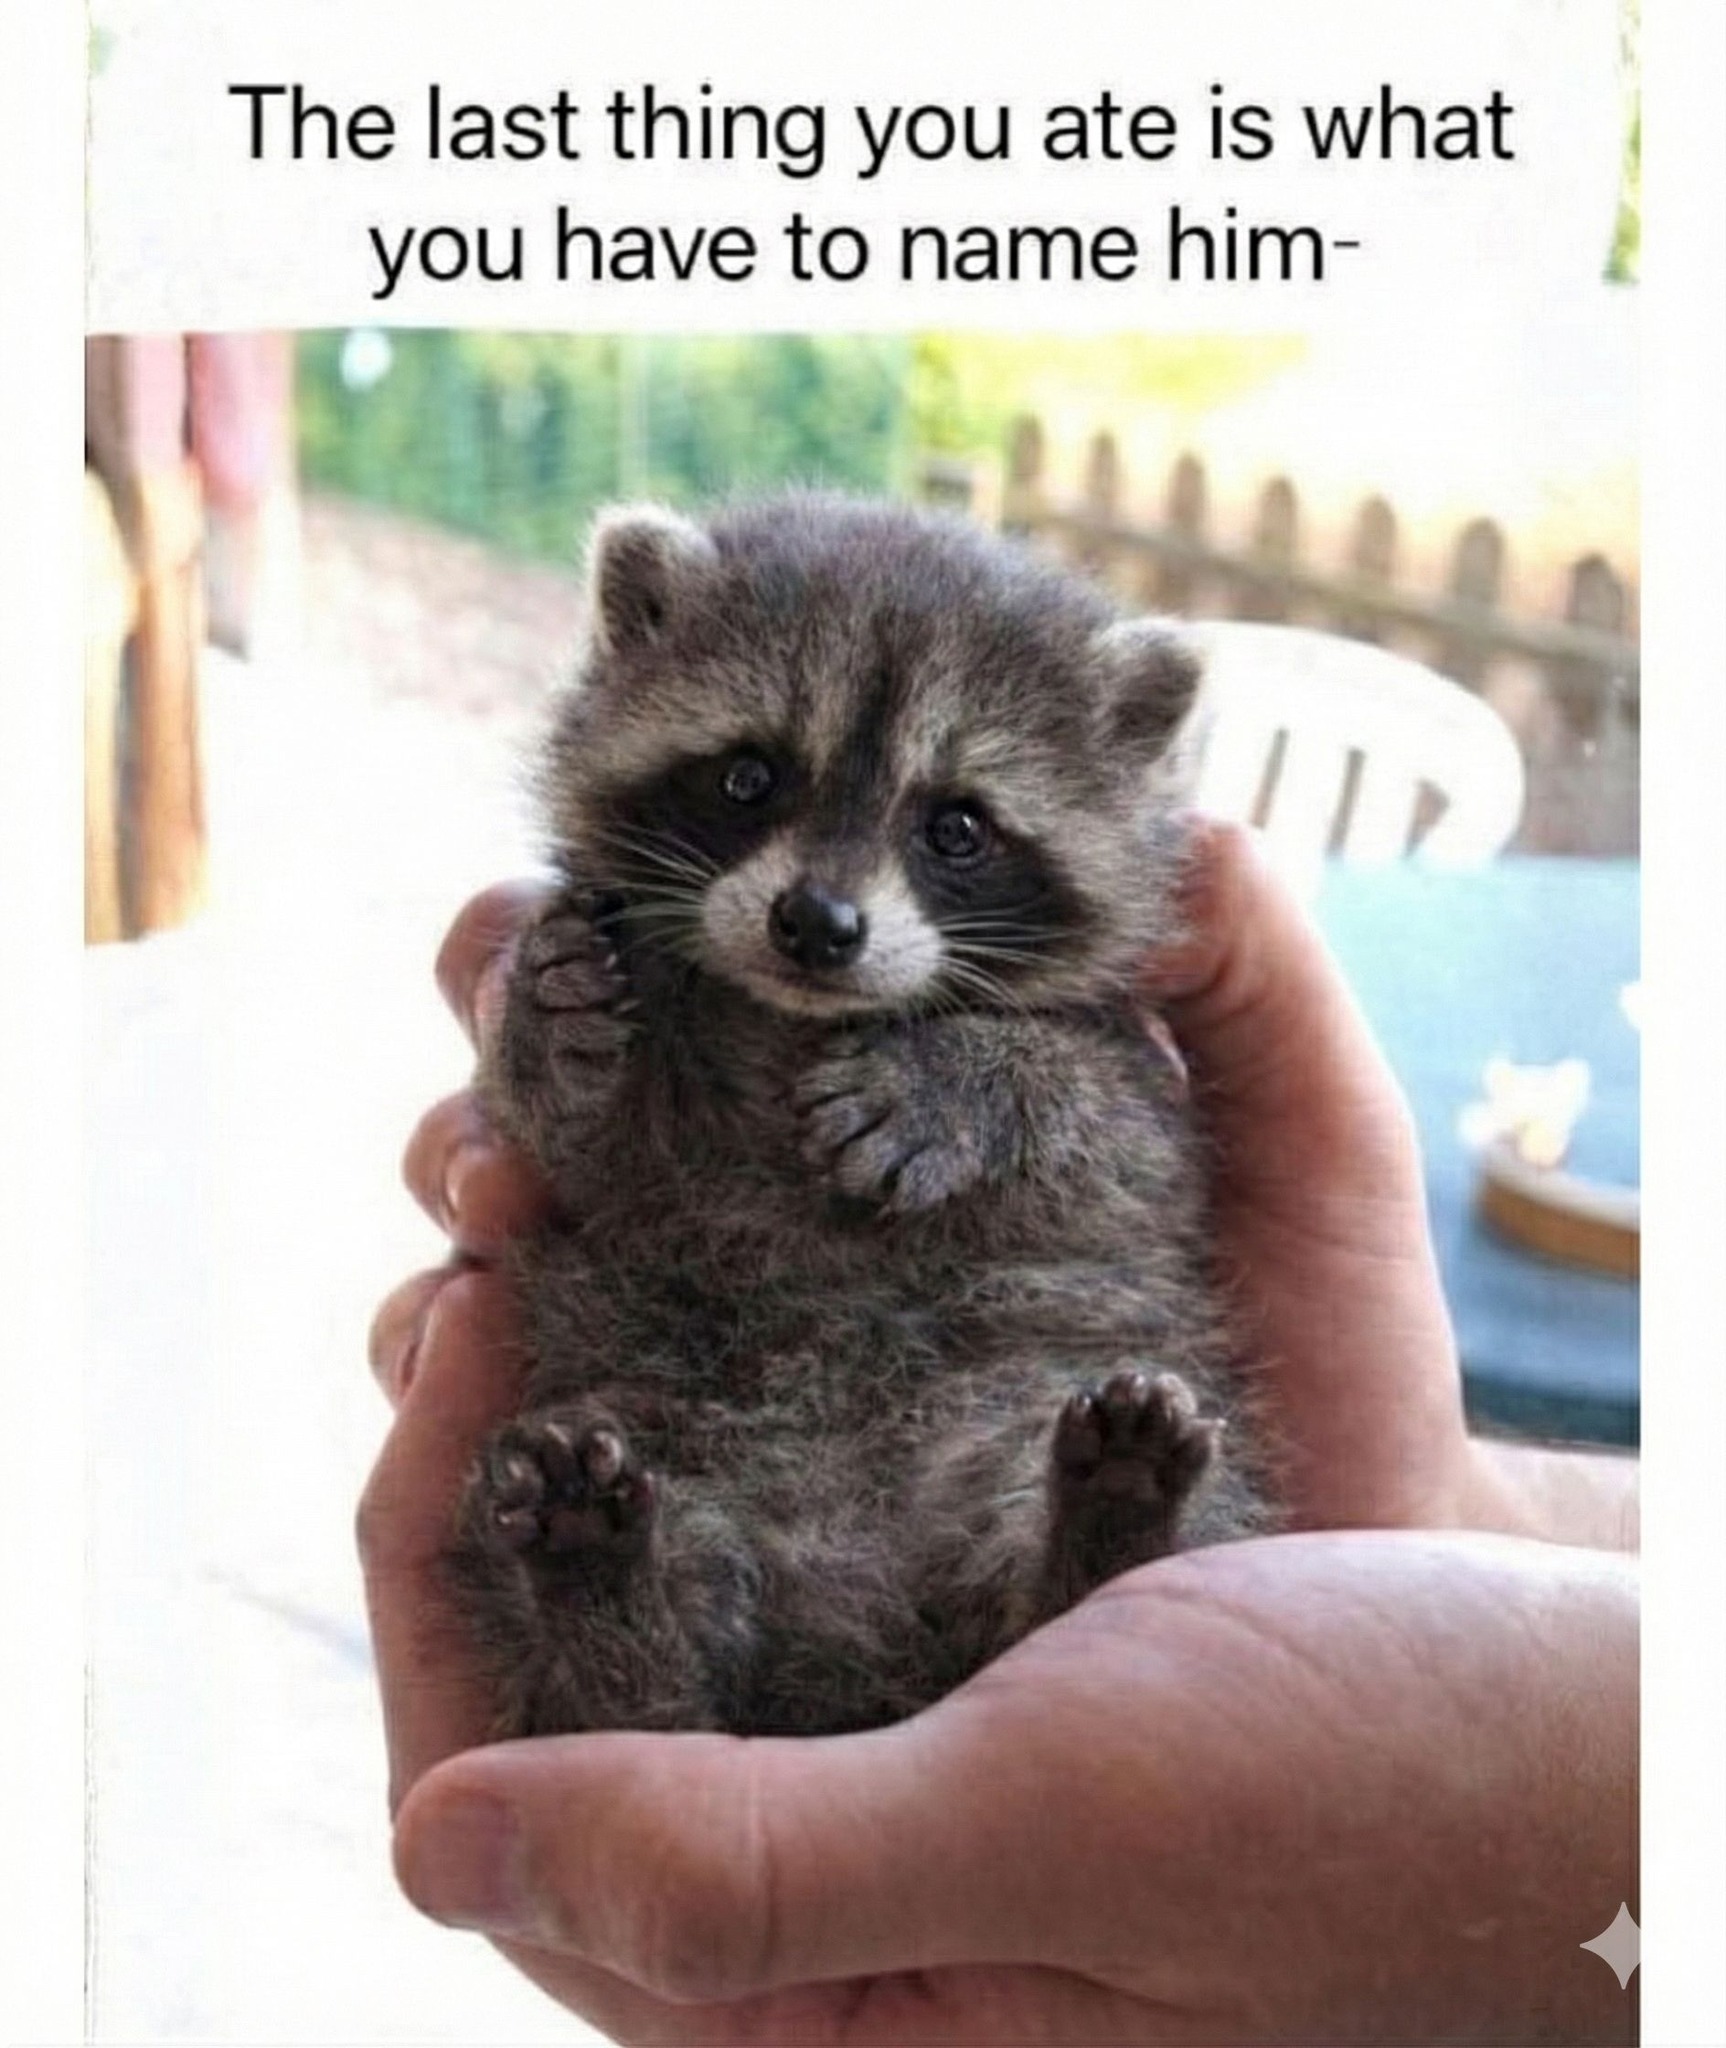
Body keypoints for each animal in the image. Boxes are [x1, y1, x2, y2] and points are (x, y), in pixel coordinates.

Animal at [450, 494, 1269, 1740]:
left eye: (958, 827)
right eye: (747, 775)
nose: (818, 923)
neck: (800, 1014)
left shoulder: (1147, 1078)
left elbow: (1119, 1138)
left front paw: (965, 1078)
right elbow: (581, 1146)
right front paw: (543, 1020)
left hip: (1016, 1409)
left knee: (1070, 1574)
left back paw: (1107, 1526)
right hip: (664, 1424)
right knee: (634, 1688)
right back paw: (604, 1601)